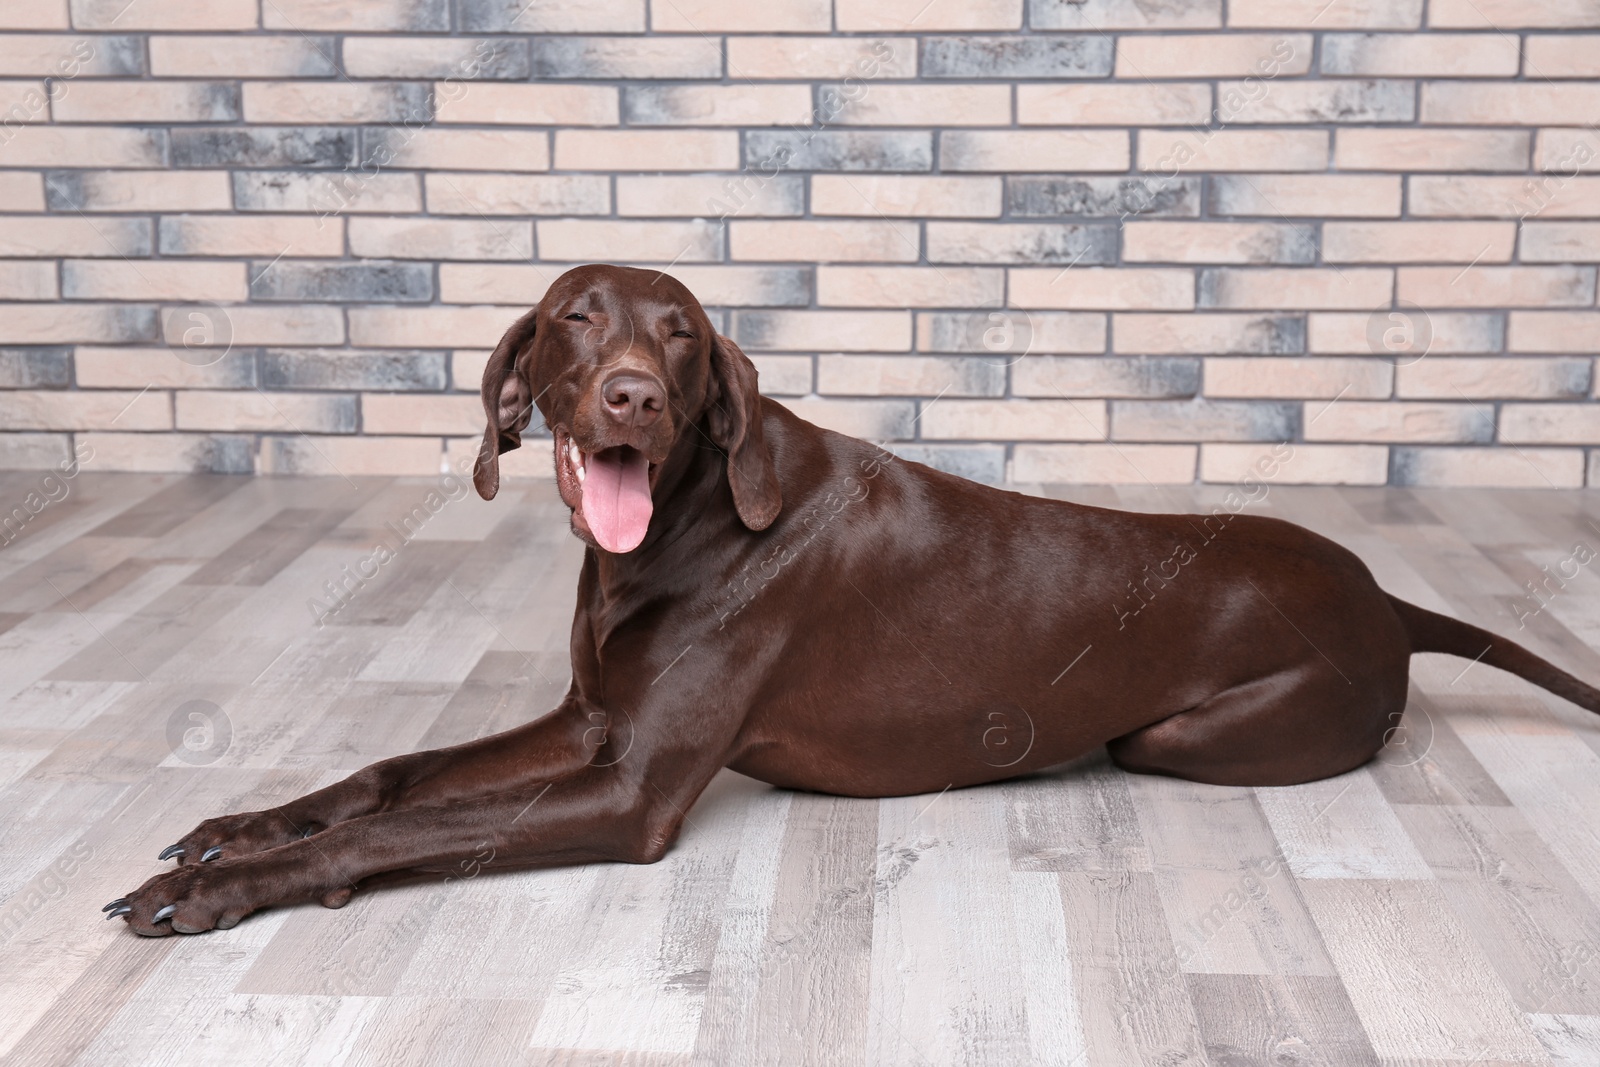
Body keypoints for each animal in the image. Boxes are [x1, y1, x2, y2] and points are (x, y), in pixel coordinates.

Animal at [106, 265, 1600, 934]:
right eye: (578, 317)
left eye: (682, 337)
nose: (632, 397)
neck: (677, 531)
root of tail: (1387, 596)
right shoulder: (591, 724)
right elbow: (392, 774)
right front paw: (241, 827)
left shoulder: (629, 787)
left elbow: (419, 826)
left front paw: (230, 882)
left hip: (1188, 734)